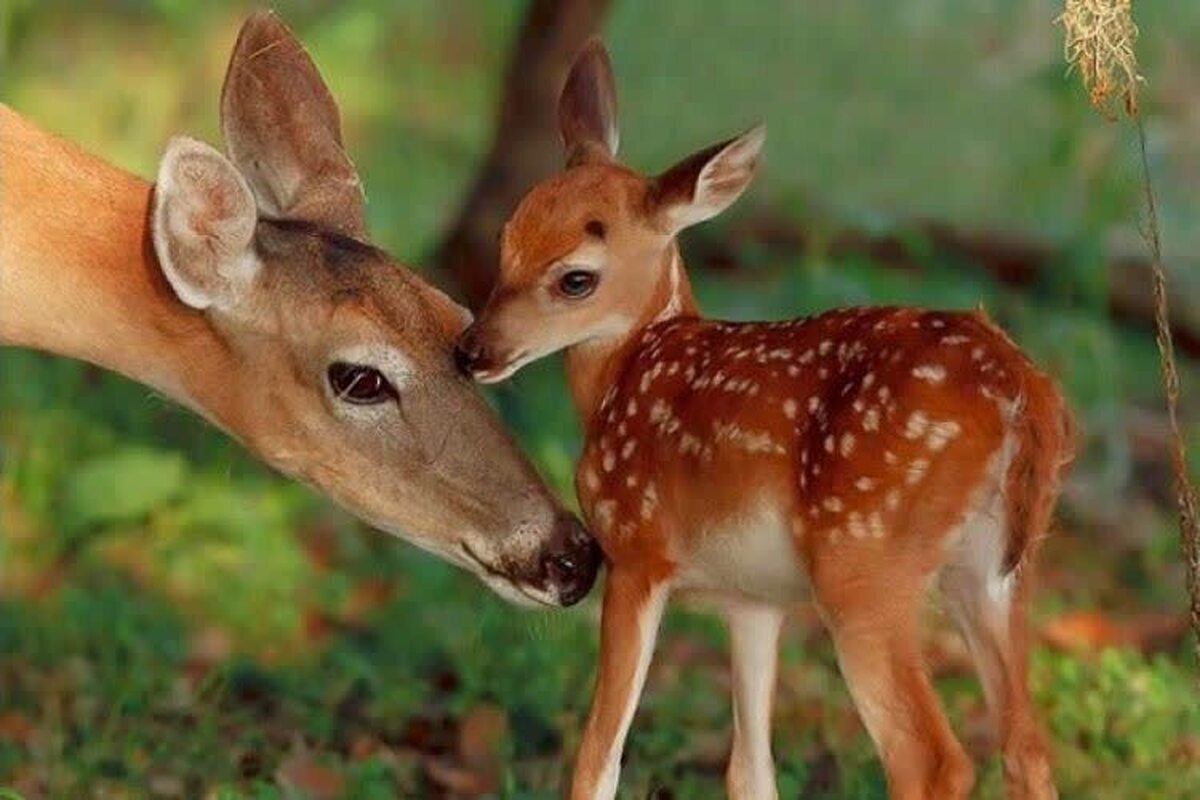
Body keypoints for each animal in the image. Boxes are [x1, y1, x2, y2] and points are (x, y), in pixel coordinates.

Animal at [456, 42, 1070, 800]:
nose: (472, 350)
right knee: (1026, 744)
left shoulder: (636, 549)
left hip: (864, 562)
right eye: (507, 237)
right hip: (996, 570)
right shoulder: (753, 599)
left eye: (576, 277)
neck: (625, 371)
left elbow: (600, 751)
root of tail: (1021, 390)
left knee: (934, 758)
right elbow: (749, 768)